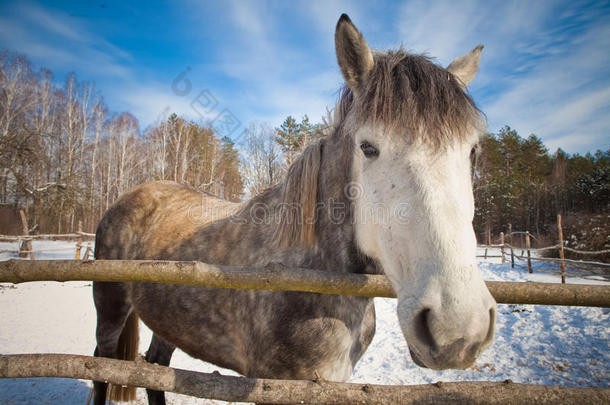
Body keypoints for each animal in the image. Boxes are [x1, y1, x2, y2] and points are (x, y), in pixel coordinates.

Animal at [92, 14, 496, 402]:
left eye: (472, 150)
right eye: (368, 147)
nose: (458, 329)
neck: (313, 273)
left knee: (156, 370)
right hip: (109, 308)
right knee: (101, 367)